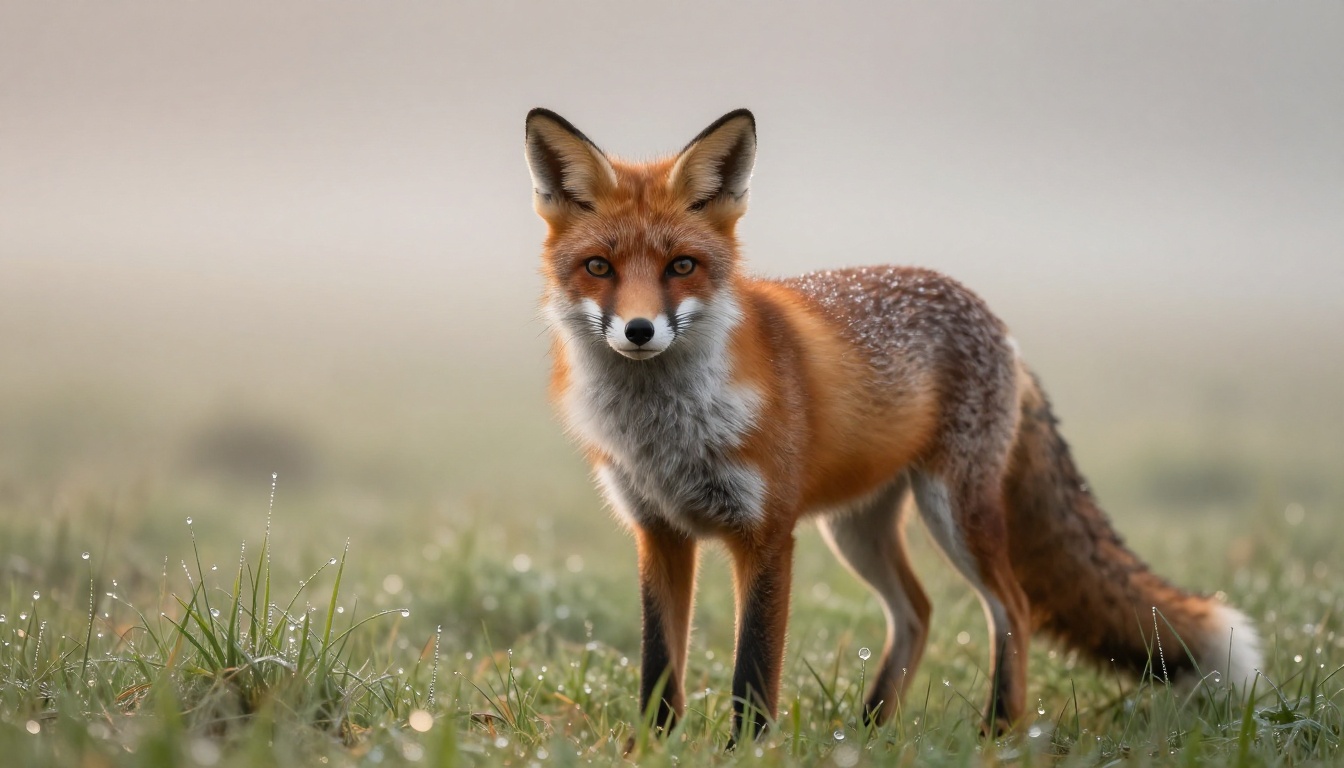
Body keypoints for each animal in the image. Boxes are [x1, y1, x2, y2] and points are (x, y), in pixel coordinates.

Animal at [524, 107, 1262, 742]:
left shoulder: (766, 535)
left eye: (682, 266)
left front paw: (746, 750)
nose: (639, 331)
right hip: (857, 527)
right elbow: (659, 667)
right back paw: (871, 727)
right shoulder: (659, 532)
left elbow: (752, 672)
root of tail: (999, 324)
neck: (666, 431)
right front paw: (652, 747)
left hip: (955, 512)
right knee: (918, 611)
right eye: (598, 267)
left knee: (1013, 608)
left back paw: (998, 731)